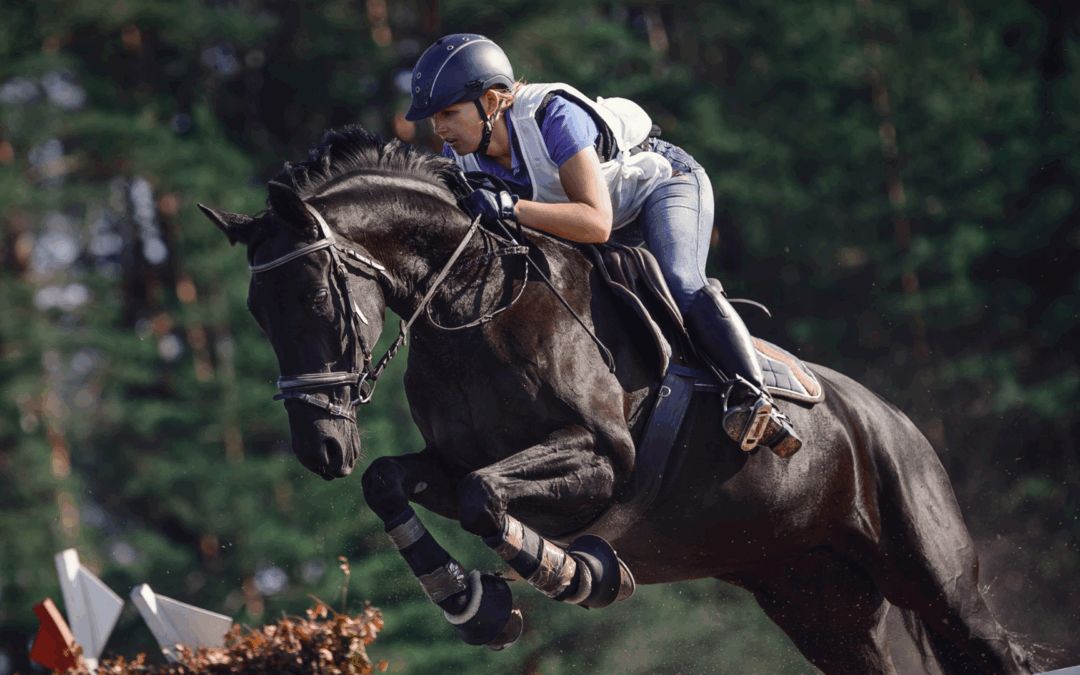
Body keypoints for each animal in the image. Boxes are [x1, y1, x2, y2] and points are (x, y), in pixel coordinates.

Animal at [199, 126, 1038, 675]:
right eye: (256, 313)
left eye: (314, 298)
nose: (320, 448)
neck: (476, 299)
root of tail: (894, 421)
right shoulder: (446, 458)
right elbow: (395, 482)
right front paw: (472, 603)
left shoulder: (603, 457)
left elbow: (483, 496)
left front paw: (568, 571)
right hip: (818, 599)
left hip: (933, 581)